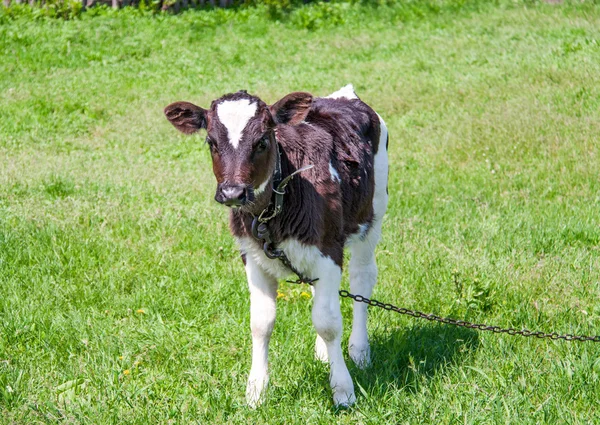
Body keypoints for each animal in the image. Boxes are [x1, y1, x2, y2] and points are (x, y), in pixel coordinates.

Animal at [164, 84, 390, 406]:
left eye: (262, 141)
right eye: (211, 142)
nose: (232, 192)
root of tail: (343, 94)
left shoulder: (328, 249)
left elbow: (328, 321)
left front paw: (343, 390)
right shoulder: (251, 255)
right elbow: (261, 322)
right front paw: (256, 391)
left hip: (372, 214)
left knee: (362, 280)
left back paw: (359, 351)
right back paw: (323, 353)